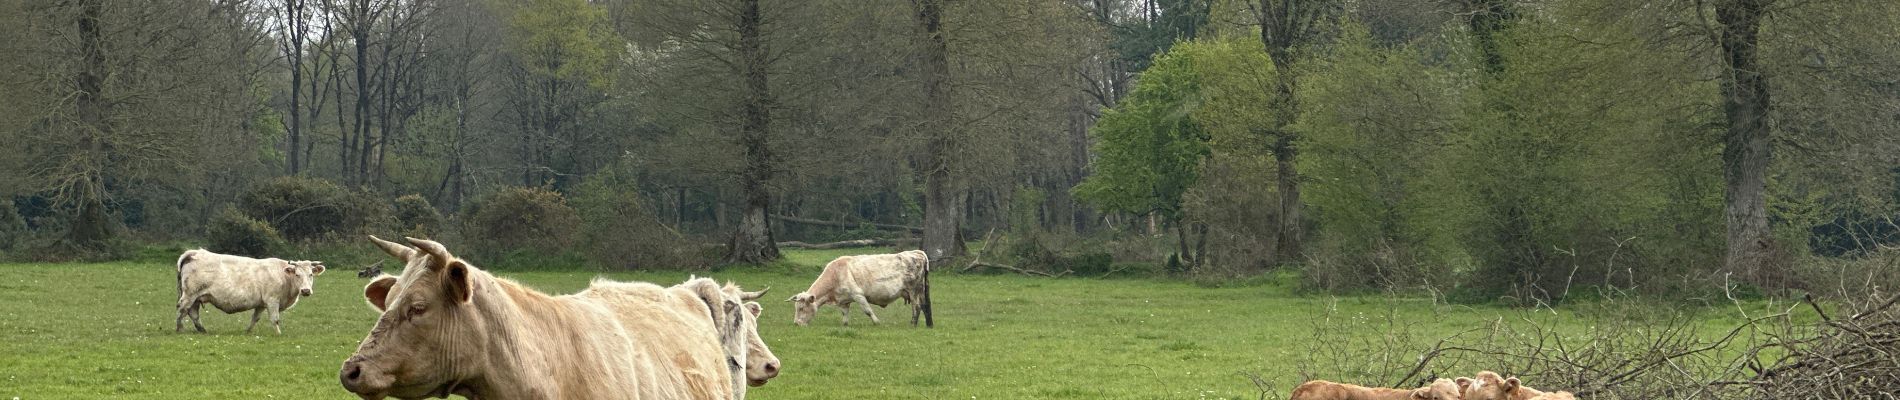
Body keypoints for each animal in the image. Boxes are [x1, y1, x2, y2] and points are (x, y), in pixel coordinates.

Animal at [174, 250, 326, 333]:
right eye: (297, 275)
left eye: (311, 274)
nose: (305, 290)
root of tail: (195, 252)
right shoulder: (272, 300)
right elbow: (275, 319)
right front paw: (278, 334)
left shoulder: (261, 304)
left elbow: (255, 318)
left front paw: (247, 331)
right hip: (189, 295)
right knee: (182, 310)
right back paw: (179, 329)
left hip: (196, 297)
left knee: (193, 313)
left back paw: (202, 330)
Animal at [790, 250, 931, 327]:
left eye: (801, 308)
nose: (796, 323)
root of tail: (916, 252)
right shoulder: (844, 301)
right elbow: (845, 314)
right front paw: (845, 325)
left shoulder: (858, 295)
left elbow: (867, 310)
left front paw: (877, 322)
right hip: (920, 292)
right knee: (925, 306)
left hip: (913, 291)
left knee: (917, 307)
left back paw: (913, 324)